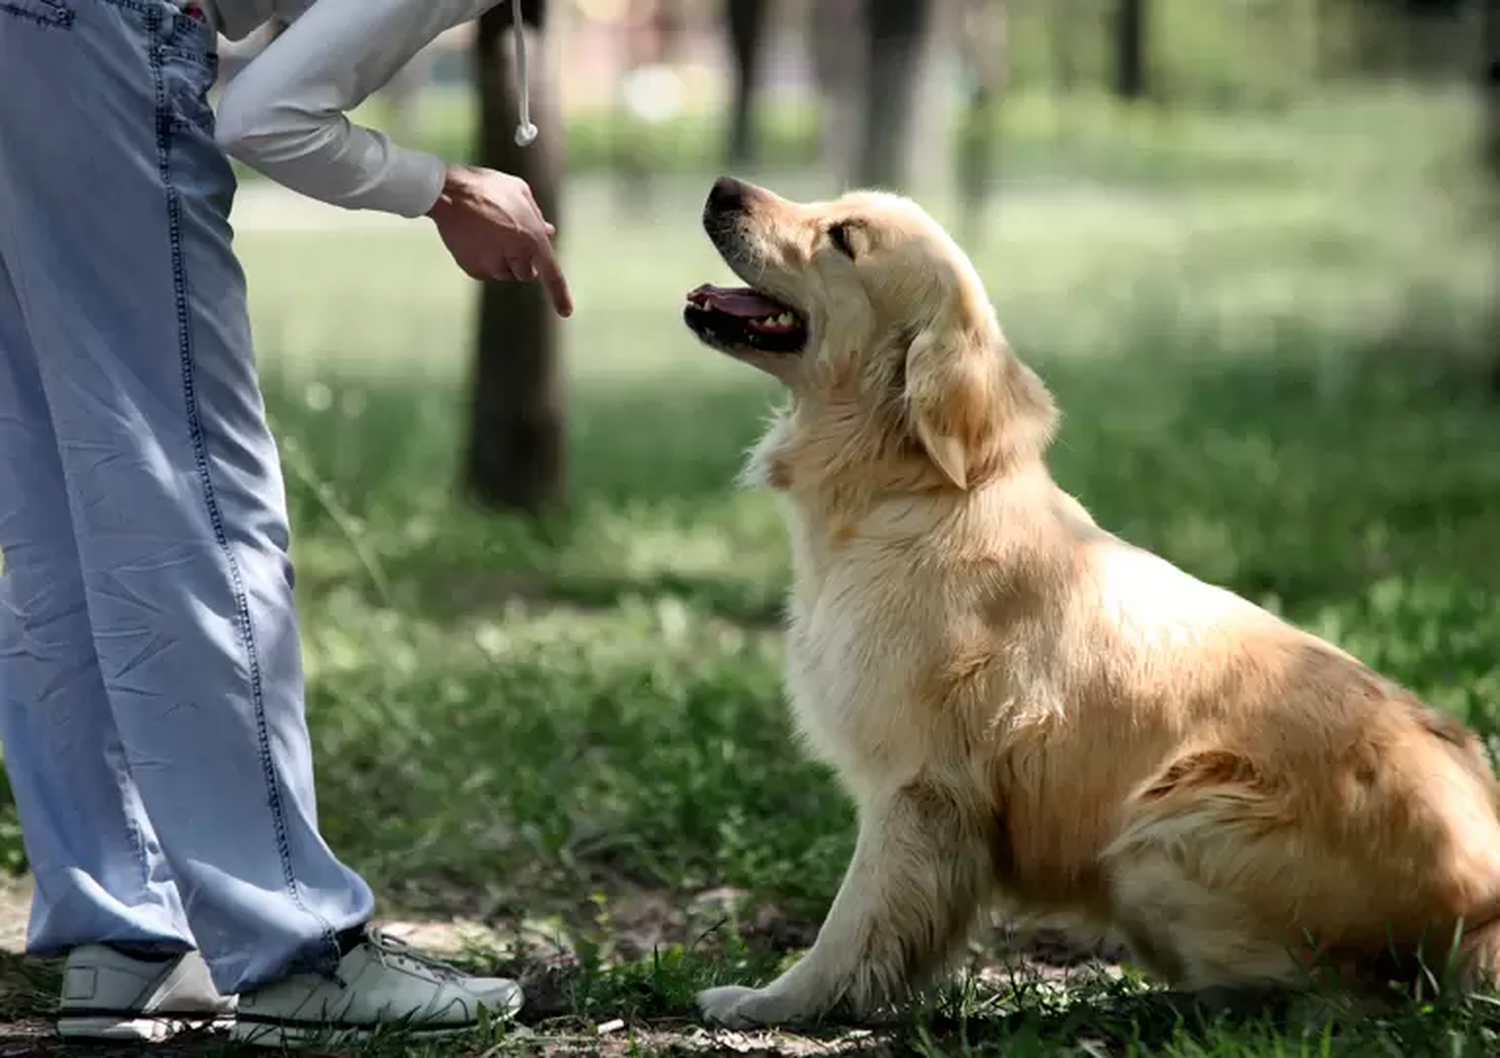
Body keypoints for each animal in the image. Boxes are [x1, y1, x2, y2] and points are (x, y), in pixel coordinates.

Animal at [681, 175, 1500, 1020]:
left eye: (843, 237)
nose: (722, 187)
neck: (907, 491)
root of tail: (1485, 911)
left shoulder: (919, 786)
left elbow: (854, 924)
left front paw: (774, 1002)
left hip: (1163, 831)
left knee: (1329, 994)